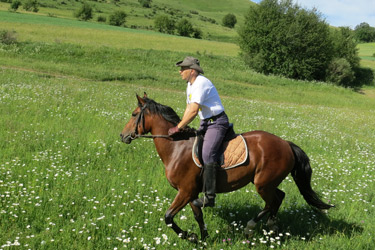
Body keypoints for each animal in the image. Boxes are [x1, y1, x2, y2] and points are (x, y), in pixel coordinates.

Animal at [120, 93, 334, 241]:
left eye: (133, 114)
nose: (123, 136)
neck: (177, 147)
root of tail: (286, 144)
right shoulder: (190, 193)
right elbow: (198, 216)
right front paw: (203, 238)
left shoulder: (185, 191)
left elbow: (168, 217)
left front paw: (190, 237)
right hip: (267, 182)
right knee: (279, 197)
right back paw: (272, 226)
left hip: (262, 184)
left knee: (273, 201)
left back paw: (251, 226)